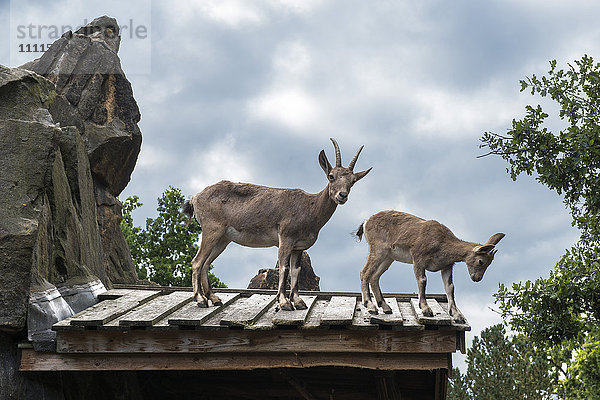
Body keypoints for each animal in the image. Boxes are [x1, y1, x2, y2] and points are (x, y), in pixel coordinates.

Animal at [183, 139, 370, 310]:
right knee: (197, 262)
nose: (342, 195)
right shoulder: (286, 238)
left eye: (353, 181)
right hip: (211, 230)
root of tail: (195, 198)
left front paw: (299, 302)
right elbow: (283, 268)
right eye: (331, 176)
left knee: (206, 263)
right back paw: (200, 300)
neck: (310, 208)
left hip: (223, 238)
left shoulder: (298, 247)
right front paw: (284, 302)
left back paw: (214, 298)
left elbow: (295, 271)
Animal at [358, 211, 504, 324]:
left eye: (489, 263)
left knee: (374, 276)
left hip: (389, 257)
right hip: (378, 249)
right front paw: (426, 309)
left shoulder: (446, 266)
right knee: (364, 272)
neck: (442, 243)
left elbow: (450, 287)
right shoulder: (418, 258)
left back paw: (385, 307)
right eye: (481, 261)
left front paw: (457, 316)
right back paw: (370, 306)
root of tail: (366, 222)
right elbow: (422, 280)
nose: (477, 278)